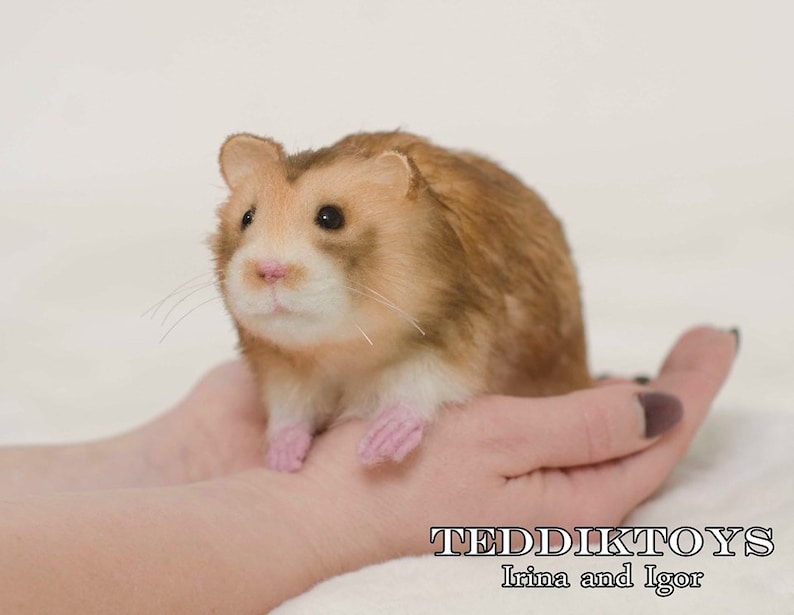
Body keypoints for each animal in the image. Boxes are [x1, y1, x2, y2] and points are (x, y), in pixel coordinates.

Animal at [212, 131, 590, 472]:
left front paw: (381, 444)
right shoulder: (283, 369)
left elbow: (424, 384)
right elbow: (290, 407)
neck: (342, 348)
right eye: (247, 217)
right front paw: (283, 457)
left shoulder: (460, 338)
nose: (268, 271)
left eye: (331, 217)